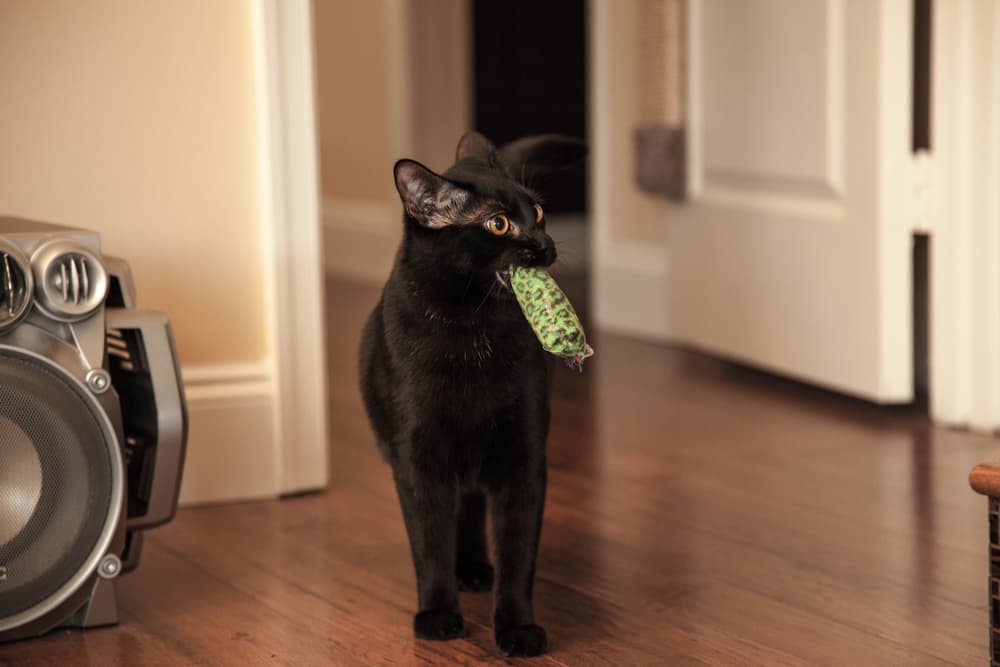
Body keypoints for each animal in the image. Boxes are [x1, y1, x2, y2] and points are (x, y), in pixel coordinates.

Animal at [360, 132, 584, 656]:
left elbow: (519, 556)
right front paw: (438, 615)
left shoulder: (523, 457)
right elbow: (429, 544)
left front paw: (518, 629)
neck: (473, 329)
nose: (543, 244)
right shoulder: (417, 460)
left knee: (473, 507)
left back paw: (478, 569)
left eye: (537, 212)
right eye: (498, 224)